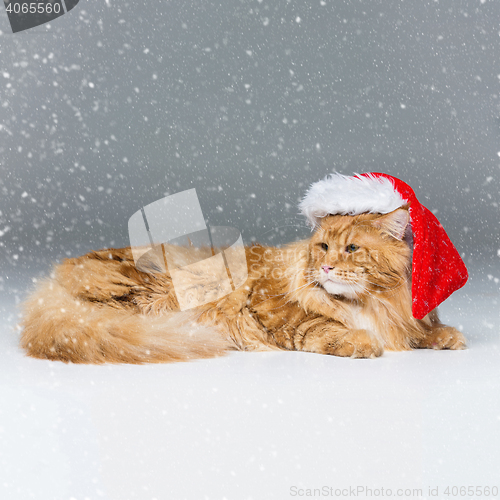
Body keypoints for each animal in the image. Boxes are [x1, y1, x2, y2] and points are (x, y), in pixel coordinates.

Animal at [19, 205, 464, 366]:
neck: (369, 302)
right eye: (323, 247)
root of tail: (51, 295)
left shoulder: (402, 315)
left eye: (352, 249)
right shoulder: (275, 310)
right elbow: (323, 327)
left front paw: (444, 336)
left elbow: (422, 330)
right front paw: (361, 341)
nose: (326, 266)